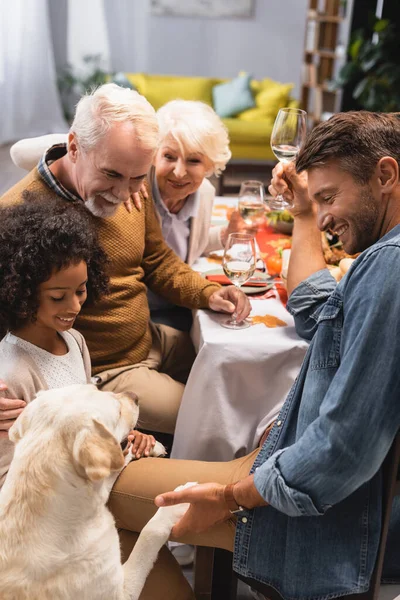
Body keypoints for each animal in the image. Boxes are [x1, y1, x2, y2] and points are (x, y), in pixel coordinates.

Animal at [0, 384, 194, 600]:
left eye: (95, 387)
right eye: (118, 412)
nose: (134, 395)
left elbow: (118, 463)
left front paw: (145, 446)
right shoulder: (119, 593)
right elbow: (149, 533)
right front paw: (176, 504)